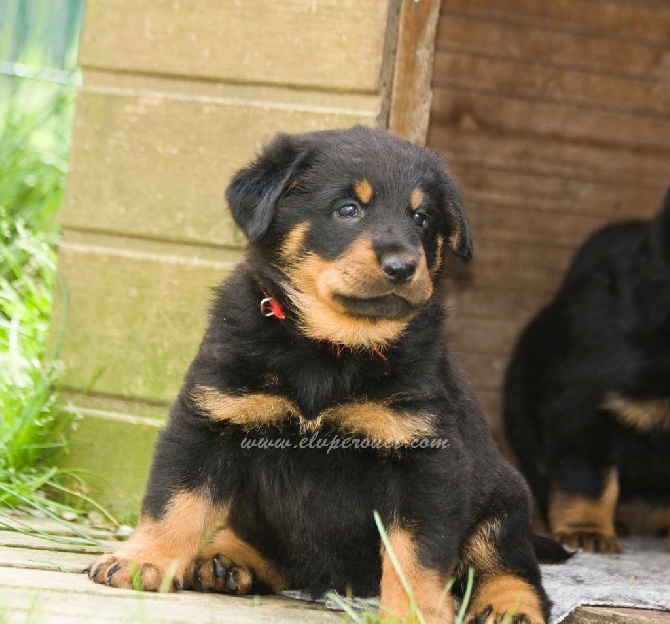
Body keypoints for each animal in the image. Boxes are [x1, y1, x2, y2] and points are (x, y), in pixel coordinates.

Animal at [88, 127, 552, 624]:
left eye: (422, 218)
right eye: (347, 209)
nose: (403, 266)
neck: (330, 347)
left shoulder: (426, 459)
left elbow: (417, 553)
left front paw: (415, 613)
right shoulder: (210, 419)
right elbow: (174, 501)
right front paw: (141, 561)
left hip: (502, 506)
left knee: (510, 567)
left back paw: (509, 607)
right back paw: (224, 560)